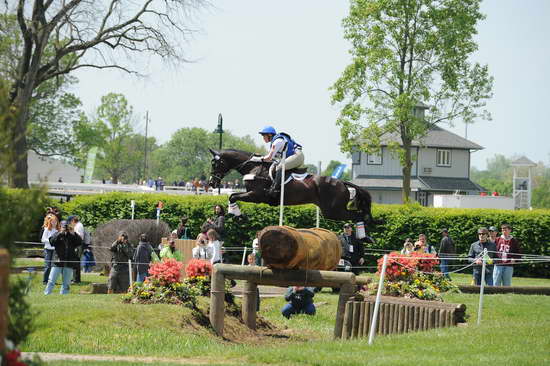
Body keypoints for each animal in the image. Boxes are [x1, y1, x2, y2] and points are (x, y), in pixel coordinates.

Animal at [208, 147, 380, 224]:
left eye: (215, 164)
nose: (211, 183)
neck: (253, 168)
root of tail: (342, 182)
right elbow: (232, 196)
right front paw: (238, 215)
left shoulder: (256, 196)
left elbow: (232, 196)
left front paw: (238, 215)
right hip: (332, 211)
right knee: (360, 214)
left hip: (333, 211)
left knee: (358, 216)